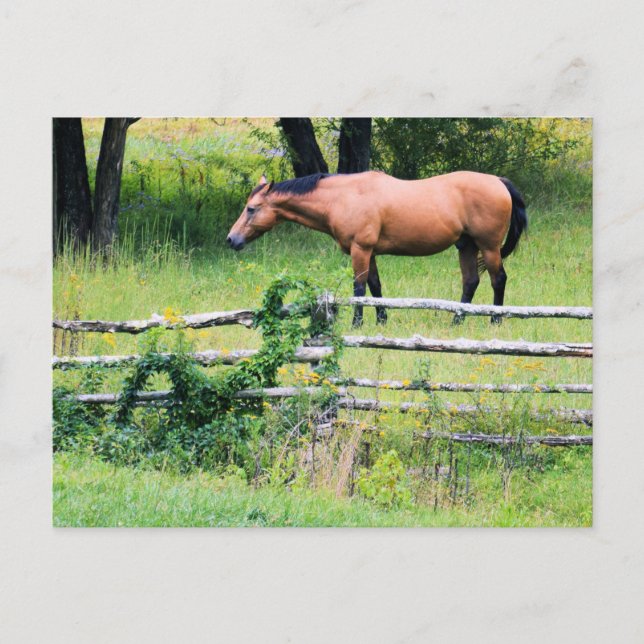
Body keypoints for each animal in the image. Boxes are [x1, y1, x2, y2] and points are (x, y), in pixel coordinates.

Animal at [226, 171, 527, 326]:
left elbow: (359, 289)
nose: (231, 240)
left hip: (488, 247)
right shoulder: (368, 252)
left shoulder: (360, 249)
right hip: (466, 246)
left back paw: (495, 321)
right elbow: (375, 286)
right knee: (471, 282)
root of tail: (498, 181)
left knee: (498, 279)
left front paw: (357, 323)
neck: (344, 196)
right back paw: (456, 322)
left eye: (251, 209)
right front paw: (382, 319)